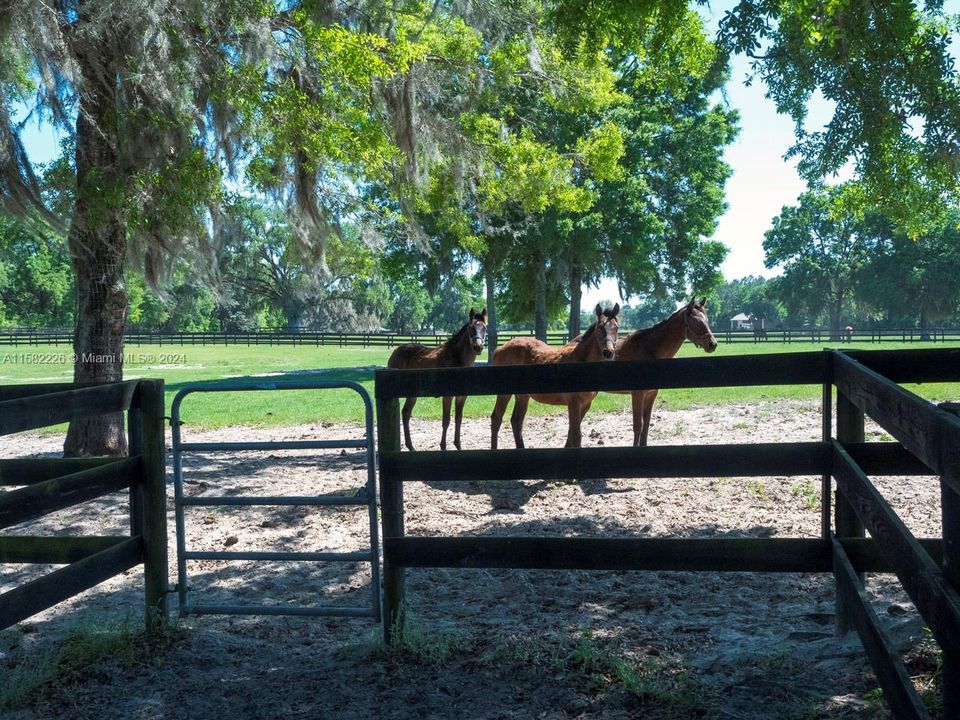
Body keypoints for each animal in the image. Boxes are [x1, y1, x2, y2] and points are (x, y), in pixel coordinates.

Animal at [384, 308, 484, 450]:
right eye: (471, 328)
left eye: (484, 328)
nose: (478, 347)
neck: (456, 358)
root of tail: (395, 352)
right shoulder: (447, 396)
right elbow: (446, 420)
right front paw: (443, 446)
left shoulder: (461, 397)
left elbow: (458, 419)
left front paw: (458, 446)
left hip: (412, 395)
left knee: (406, 413)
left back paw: (411, 446)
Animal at [488, 304, 624, 450]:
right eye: (599, 327)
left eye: (617, 327)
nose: (608, 352)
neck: (581, 360)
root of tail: (498, 349)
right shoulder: (574, 402)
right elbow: (576, 435)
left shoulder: (586, 404)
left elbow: (571, 434)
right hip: (504, 394)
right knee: (496, 419)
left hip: (523, 396)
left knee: (516, 421)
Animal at [612, 296, 716, 444]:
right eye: (696, 321)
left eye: (707, 320)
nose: (712, 344)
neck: (648, 350)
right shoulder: (637, 394)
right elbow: (638, 426)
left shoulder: (651, 394)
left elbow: (646, 425)